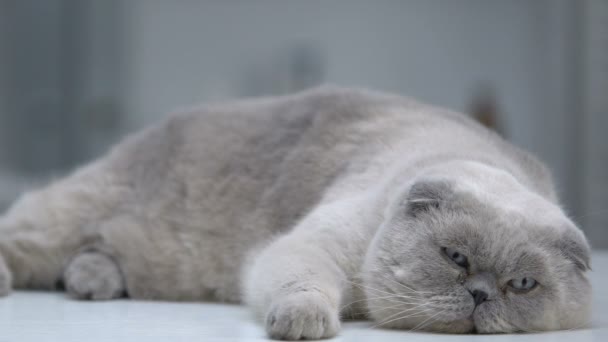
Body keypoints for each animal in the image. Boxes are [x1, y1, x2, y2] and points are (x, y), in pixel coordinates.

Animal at [0, 86, 588, 340]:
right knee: (24, 237)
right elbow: (303, 287)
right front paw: (305, 324)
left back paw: (91, 281)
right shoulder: (310, 246)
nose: (481, 294)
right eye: (456, 258)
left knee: (96, 253)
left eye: (523, 285)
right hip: (64, 217)